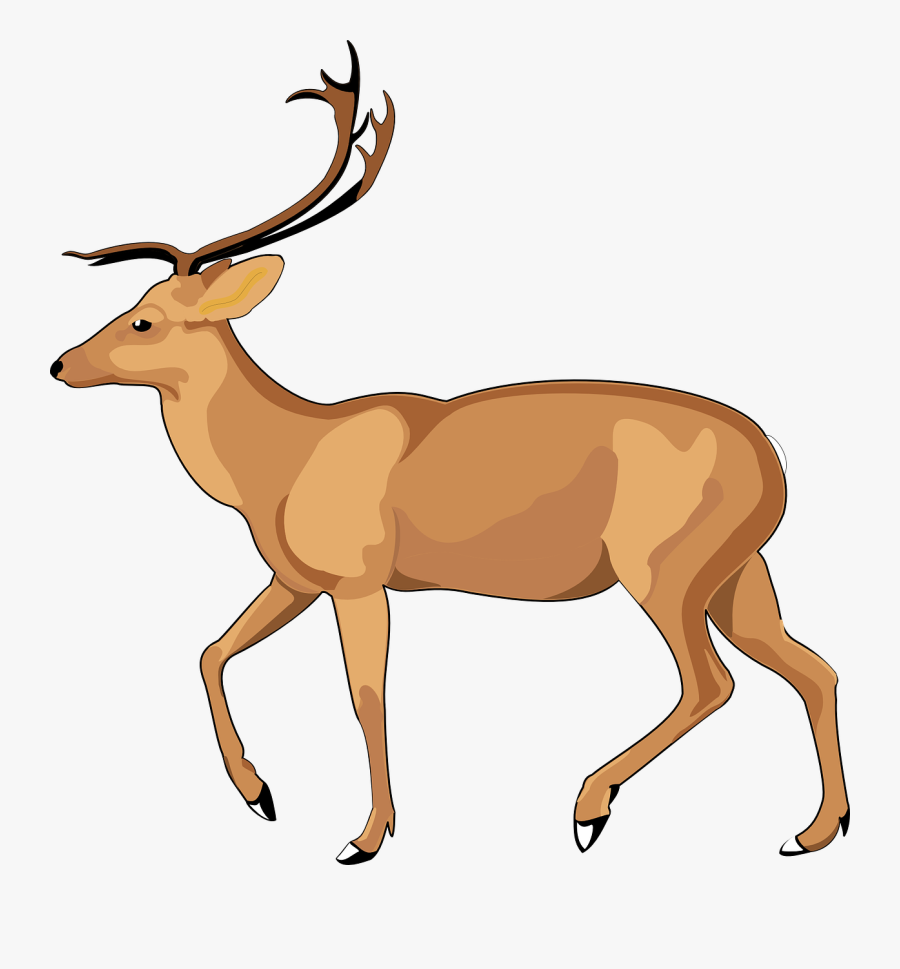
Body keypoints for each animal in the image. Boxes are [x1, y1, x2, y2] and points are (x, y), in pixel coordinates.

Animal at [52, 43, 848, 864]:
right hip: (738, 572)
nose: (60, 364)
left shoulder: (358, 578)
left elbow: (365, 694)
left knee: (712, 682)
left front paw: (366, 837)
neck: (282, 460)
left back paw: (588, 807)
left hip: (663, 567)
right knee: (813, 668)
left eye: (143, 320)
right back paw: (813, 831)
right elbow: (212, 649)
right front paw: (261, 796)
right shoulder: (297, 578)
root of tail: (774, 463)